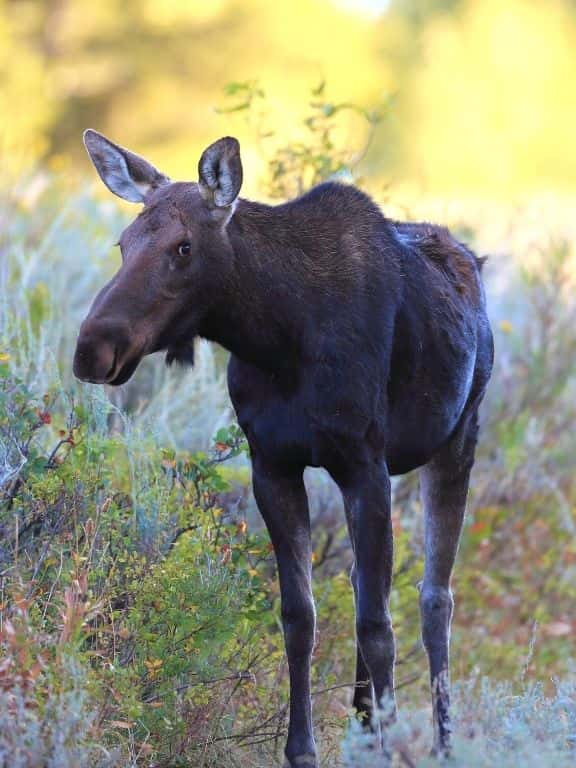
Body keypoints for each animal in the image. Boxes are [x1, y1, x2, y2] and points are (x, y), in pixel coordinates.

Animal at [73, 129, 496, 764]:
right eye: (123, 244)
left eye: (183, 247)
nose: (92, 349)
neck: (278, 336)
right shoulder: (272, 463)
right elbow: (300, 615)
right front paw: (307, 747)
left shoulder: (364, 461)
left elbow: (378, 624)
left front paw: (390, 740)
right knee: (368, 584)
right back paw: (363, 724)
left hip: (458, 436)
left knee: (433, 597)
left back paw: (441, 742)